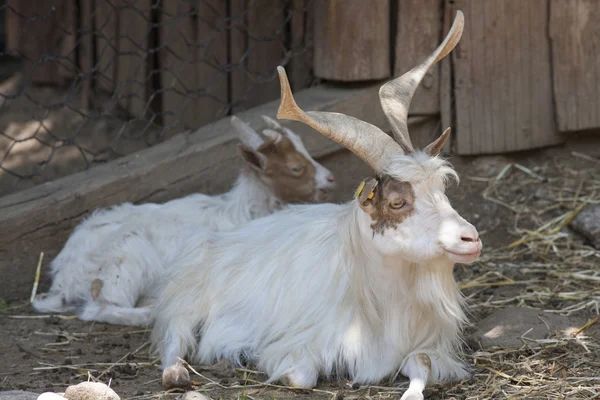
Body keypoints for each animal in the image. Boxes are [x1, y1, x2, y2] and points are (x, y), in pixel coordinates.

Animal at [152, 10, 480, 398]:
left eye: (442, 188)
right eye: (398, 202)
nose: (470, 238)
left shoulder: (425, 342)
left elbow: (423, 363)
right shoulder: (302, 340)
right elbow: (301, 376)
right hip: (186, 295)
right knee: (174, 336)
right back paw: (178, 372)